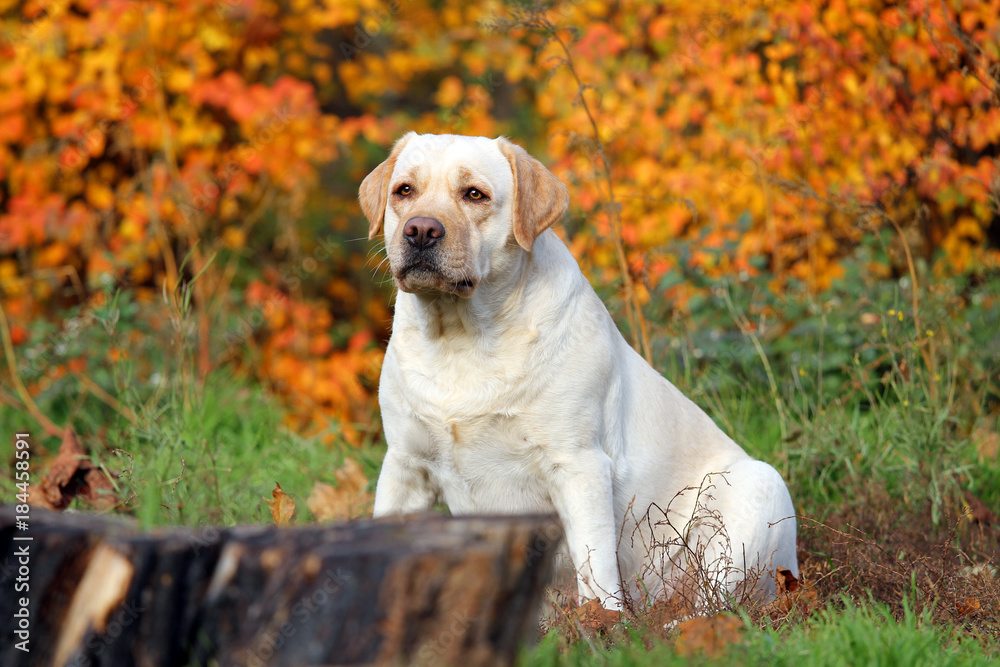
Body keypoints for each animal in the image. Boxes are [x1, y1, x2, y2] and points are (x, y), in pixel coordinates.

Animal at [362, 132, 796, 612]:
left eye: (474, 194)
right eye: (404, 190)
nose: (420, 230)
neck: (461, 339)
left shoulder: (578, 465)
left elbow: (597, 571)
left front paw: (604, 623)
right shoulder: (405, 465)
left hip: (757, 491)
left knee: (715, 600)